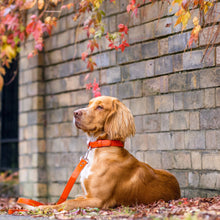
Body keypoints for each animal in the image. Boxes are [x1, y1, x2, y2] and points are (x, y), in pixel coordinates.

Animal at [40, 95, 180, 211]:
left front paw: (44, 208)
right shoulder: (86, 195)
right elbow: (69, 200)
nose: (75, 113)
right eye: (89, 104)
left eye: (100, 107)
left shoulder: (98, 200)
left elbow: (69, 203)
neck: (101, 147)